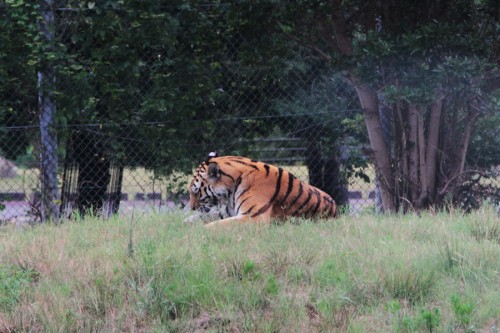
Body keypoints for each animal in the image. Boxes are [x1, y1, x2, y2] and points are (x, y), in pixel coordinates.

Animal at [188, 152, 340, 226]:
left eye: (196, 192)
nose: (192, 208)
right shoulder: (229, 211)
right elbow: (208, 216)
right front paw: (187, 221)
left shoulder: (253, 216)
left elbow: (215, 225)